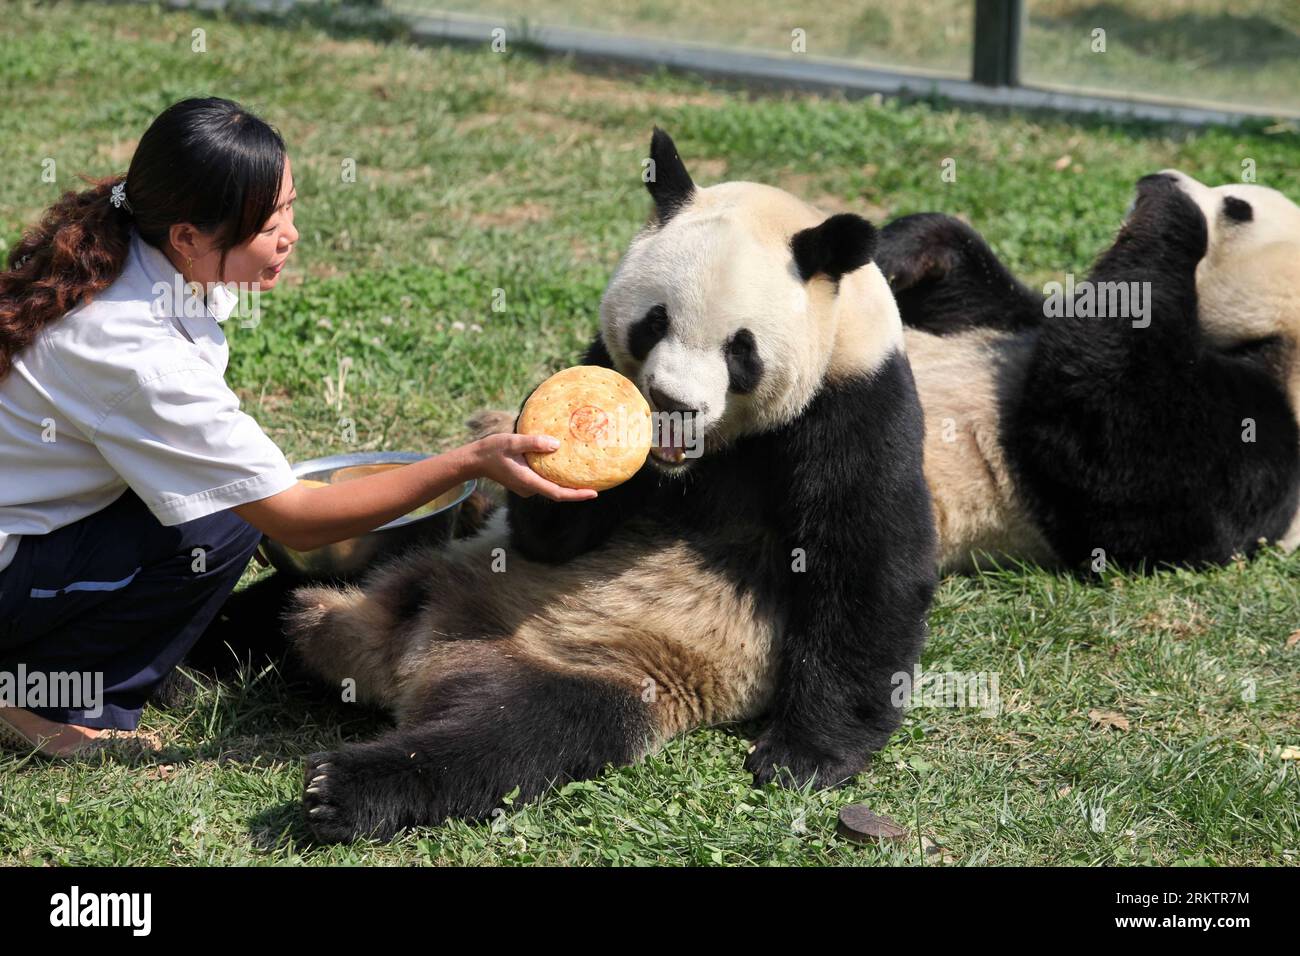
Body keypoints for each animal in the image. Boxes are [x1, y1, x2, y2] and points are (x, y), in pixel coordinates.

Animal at [282, 127, 935, 842]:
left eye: (741, 349)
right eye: (654, 321)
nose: (673, 404)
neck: (695, 464)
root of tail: (408, 661)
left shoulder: (853, 401)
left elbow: (867, 563)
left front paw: (804, 758)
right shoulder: (605, 362)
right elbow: (551, 539)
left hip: (608, 670)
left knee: (515, 738)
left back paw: (344, 787)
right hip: (419, 581)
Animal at [873, 170, 1300, 574]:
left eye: (1237, 207)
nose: (1153, 177)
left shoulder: (1255, 452)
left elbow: (1125, 455)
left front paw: (1171, 206)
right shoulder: (1019, 323)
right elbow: (975, 298)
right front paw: (902, 248)